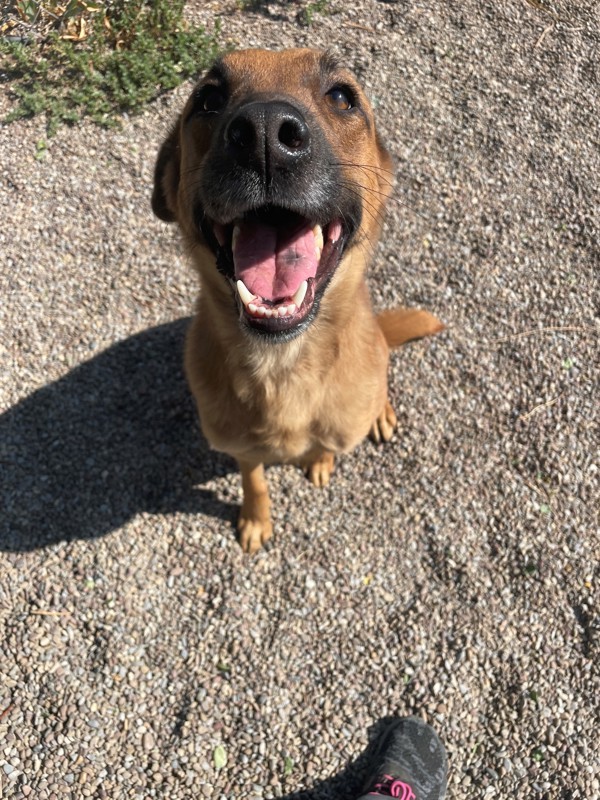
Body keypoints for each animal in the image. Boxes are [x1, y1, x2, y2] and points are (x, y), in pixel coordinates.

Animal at [152, 48, 442, 552]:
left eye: (342, 97)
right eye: (208, 99)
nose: (265, 134)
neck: (282, 365)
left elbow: (324, 446)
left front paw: (319, 461)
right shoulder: (240, 448)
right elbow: (254, 479)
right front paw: (255, 518)